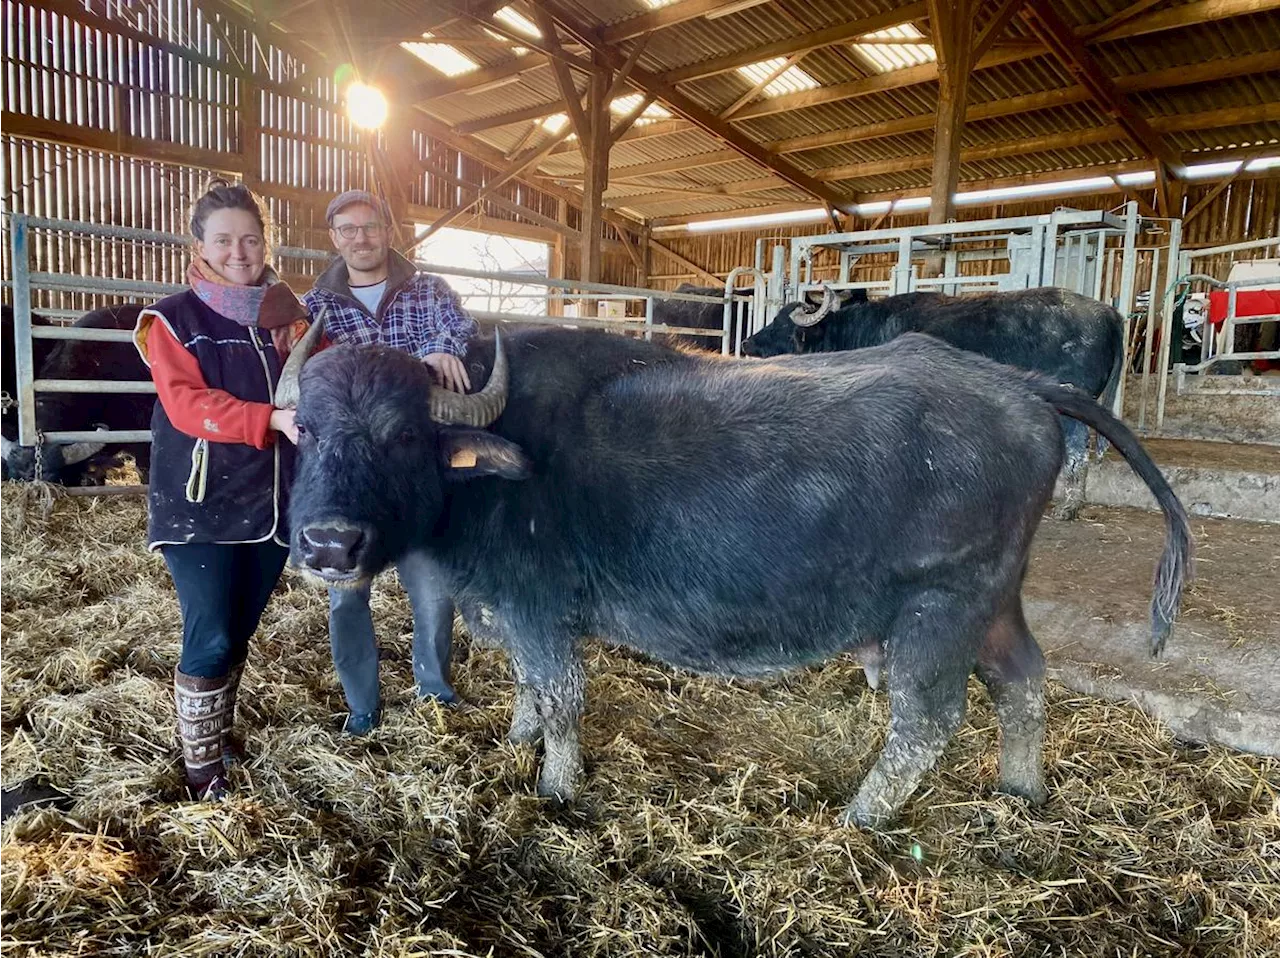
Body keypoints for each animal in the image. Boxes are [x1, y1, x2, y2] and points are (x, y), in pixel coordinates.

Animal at [282, 324, 1187, 829]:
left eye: (403, 435)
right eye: (309, 430)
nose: (328, 544)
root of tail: (1017, 384)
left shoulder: (539, 610)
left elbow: (561, 697)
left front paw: (556, 787)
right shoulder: (509, 611)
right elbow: (529, 693)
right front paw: (515, 743)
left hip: (942, 607)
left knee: (929, 719)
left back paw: (860, 816)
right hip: (995, 601)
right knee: (1024, 681)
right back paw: (1020, 791)